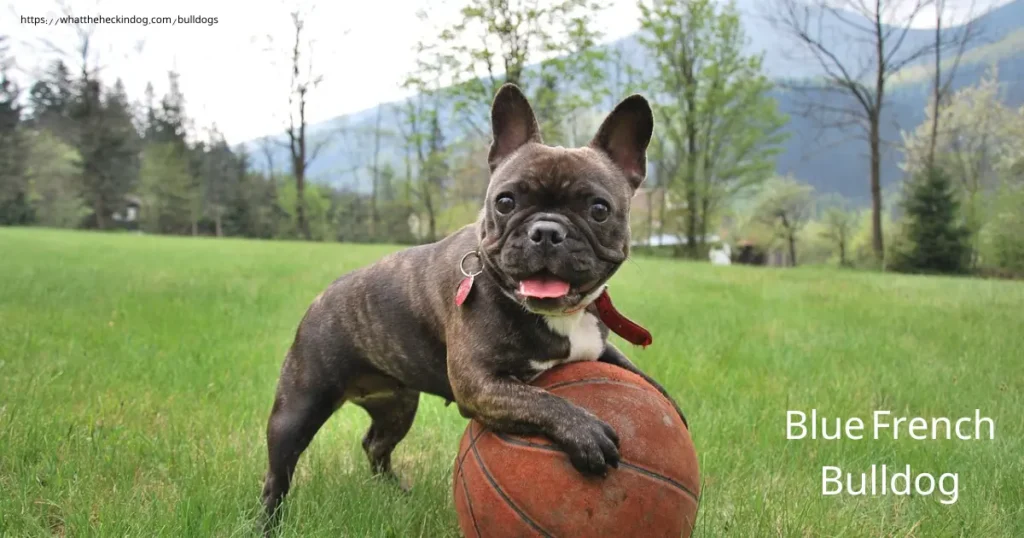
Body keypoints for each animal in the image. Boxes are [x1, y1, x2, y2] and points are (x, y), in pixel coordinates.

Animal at [260, 83, 684, 524]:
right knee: (279, 472)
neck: (556, 314)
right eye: (505, 202)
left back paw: (395, 491)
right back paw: (269, 521)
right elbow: (540, 399)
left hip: (398, 405)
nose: (546, 231)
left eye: (598, 209)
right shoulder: (480, 384)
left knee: (375, 444)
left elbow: (636, 372)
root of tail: (322, 297)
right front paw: (585, 432)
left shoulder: (597, 347)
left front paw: (670, 405)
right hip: (299, 407)